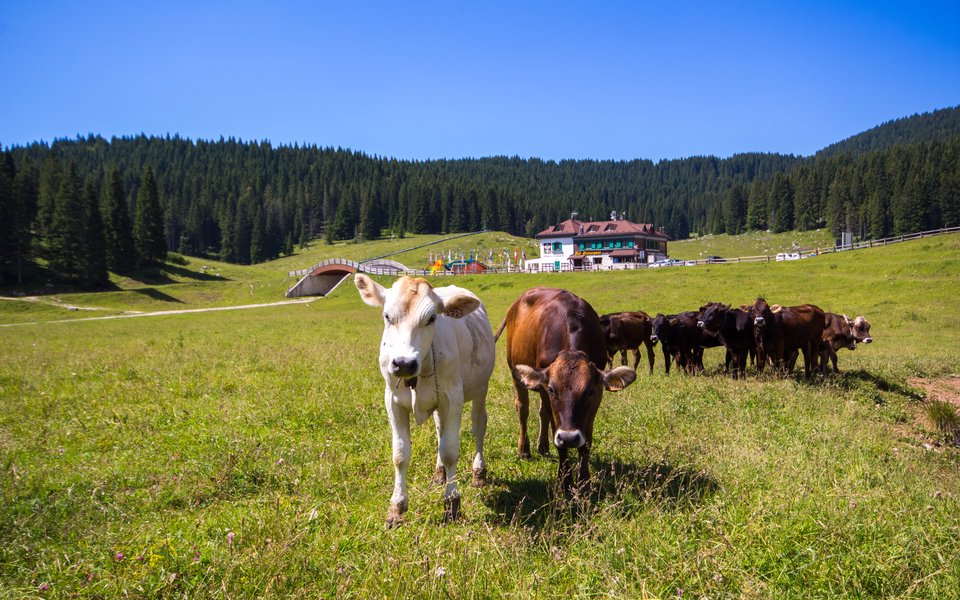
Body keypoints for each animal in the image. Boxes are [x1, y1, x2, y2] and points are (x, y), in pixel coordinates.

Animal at [356, 274, 498, 528]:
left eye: (431, 318)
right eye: (387, 316)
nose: (403, 363)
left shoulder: (453, 398)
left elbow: (450, 450)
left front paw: (452, 502)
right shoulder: (392, 401)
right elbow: (400, 455)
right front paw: (397, 507)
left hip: (481, 389)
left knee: (478, 427)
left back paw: (479, 472)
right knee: (440, 431)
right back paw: (439, 473)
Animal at [496, 288, 636, 492]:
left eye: (589, 391)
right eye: (553, 390)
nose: (569, 438)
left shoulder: (597, 397)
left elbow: (586, 441)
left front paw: (584, 481)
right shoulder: (546, 390)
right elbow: (557, 436)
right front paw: (564, 480)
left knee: (542, 412)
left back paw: (543, 446)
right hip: (515, 373)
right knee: (523, 409)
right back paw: (524, 449)